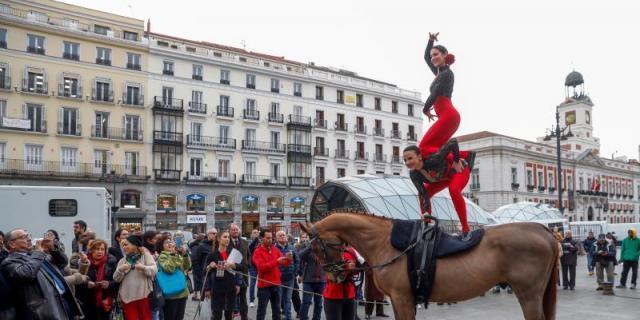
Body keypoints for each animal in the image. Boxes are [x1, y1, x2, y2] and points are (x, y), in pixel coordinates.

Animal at [298, 211, 556, 318]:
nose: (335, 276)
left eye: (316, 248)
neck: (384, 240)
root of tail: (543, 229)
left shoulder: (402, 298)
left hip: (528, 295)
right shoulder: (402, 300)